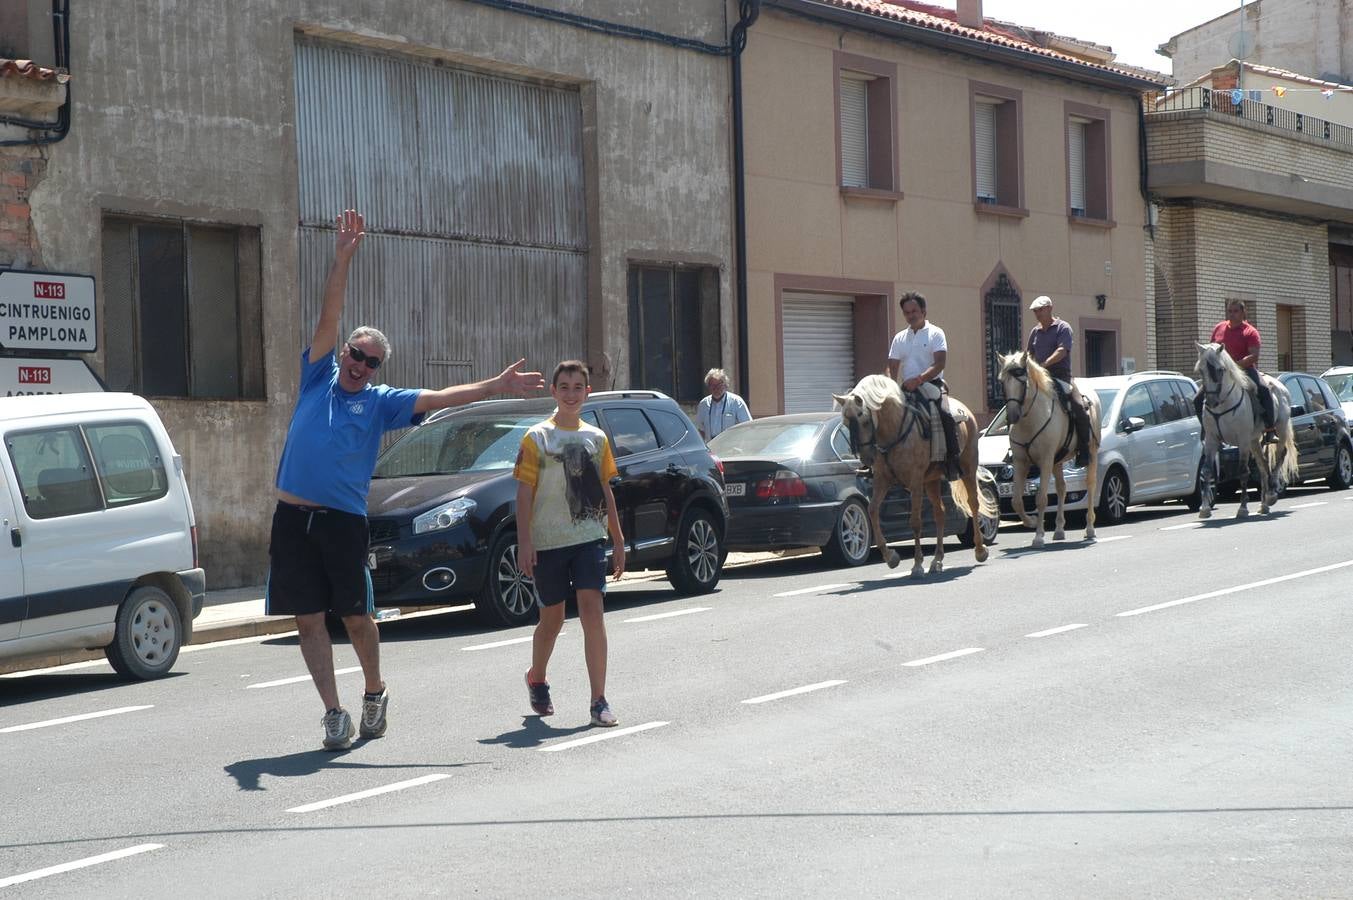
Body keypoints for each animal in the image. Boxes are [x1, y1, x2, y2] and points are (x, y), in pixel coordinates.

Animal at [833, 370, 995, 576]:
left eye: (864, 419)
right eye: (845, 423)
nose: (867, 458)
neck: (893, 431)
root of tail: (965, 410)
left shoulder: (915, 481)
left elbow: (915, 522)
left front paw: (917, 565)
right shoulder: (882, 480)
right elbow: (872, 510)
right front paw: (891, 557)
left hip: (968, 467)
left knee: (973, 504)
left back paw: (980, 550)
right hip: (932, 480)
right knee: (940, 513)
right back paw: (937, 560)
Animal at [995, 351, 1098, 546]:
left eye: (1022, 381)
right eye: (1002, 382)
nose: (1012, 416)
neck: (1030, 421)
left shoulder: (1045, 460)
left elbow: (1041, 498)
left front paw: (1038, 536)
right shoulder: (1021, 462)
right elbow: (1016, 501)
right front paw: (1031, 521)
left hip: (1091, 452)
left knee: (1089, 484)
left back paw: (1089, 528)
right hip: (1057, 461)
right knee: (1061, 488)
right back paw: (1059, 530)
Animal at [1201, 341, 1293, 516]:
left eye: (1220, 369)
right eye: (1201, 371)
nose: (1211, 401)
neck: (1223, 405)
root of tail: (1280, 386)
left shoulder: (1242, 439)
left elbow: (1243, 471)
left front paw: (1243, 508)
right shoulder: (1211, 439)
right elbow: (1207, 470)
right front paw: (1204, 509)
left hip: (1281, 428)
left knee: (1280, 455)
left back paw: (1272, 494)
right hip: (1254, 440)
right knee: (1263, 464)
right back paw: (1264, 504)